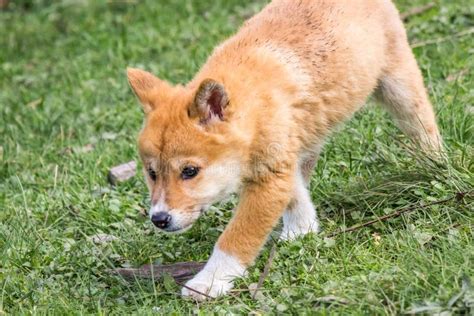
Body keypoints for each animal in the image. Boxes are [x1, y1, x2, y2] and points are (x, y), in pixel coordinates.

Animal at [125, 0, 440, 300]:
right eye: (152, 173)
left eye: (189, 171)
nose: (159, 219)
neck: (253, 105)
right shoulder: (281, 164)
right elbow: (296, 196)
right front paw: (302, 231)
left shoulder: (270, 178)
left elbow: (234, 240)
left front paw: (208, 283)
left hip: (399, 88)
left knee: (425, 128)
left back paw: (436, 165)